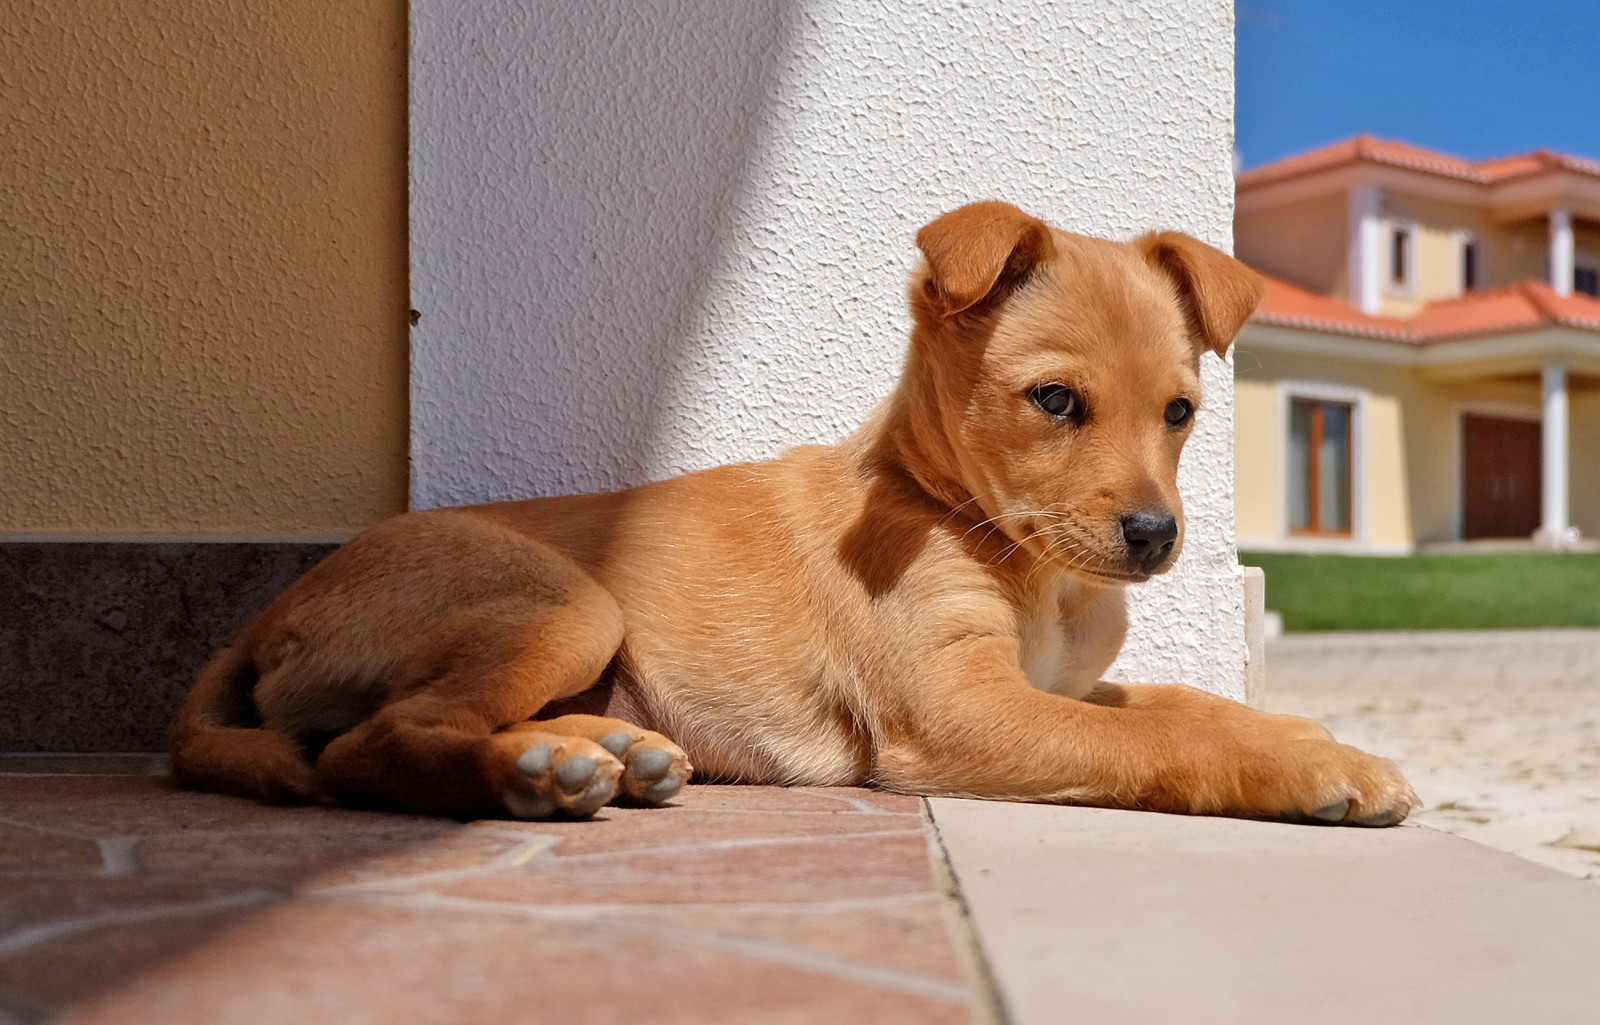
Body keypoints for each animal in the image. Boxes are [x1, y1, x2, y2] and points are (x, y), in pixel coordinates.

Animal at [175, 203, 1420, 825]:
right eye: (1055, 400)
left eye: (1180, 412)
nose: (1156, 538)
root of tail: (274, 608)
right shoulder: (957, 708)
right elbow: (1157, 738)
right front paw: (1315, 772)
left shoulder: (1053, 680)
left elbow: (1188, 701)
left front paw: (1313, 736)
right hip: (563, 601)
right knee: (371, 744)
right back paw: (529, 776)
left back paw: (602, 749)